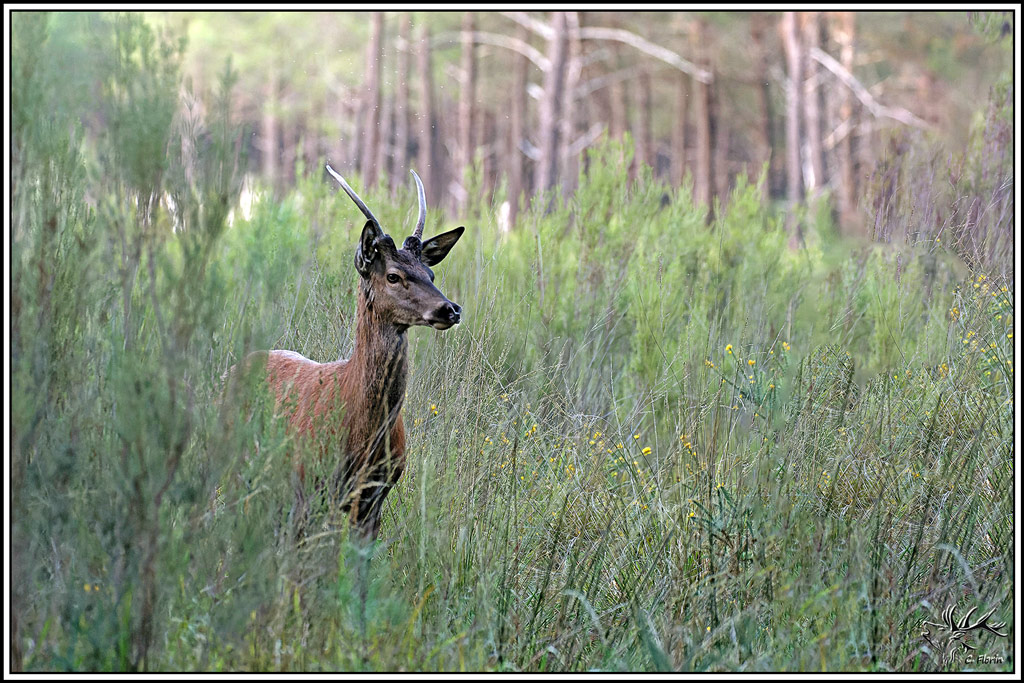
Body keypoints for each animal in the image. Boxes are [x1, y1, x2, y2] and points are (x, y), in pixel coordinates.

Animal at [230, 165, 464, 545]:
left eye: (430, 273)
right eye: (393, 276)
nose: (450, 309)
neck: (362, 429)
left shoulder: (374, 495)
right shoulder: (308, 484)